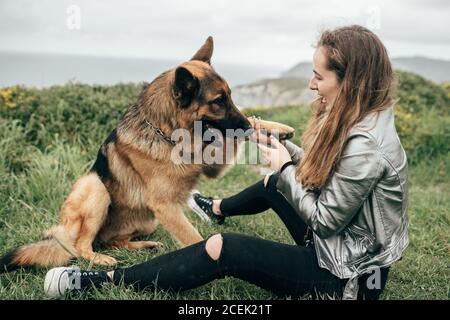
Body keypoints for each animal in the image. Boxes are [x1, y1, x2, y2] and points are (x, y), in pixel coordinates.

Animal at [0, 35, 253, 270]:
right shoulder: (166, 207)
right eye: (218, 101)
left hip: (148, 221)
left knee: (112, 241)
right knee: (82, 246)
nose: (248, 128)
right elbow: (194, 238)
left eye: (230, 96)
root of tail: (61, 236)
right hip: (95, 187)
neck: (167, 134)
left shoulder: (209, 168)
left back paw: (143, 246)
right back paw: (99, 258)